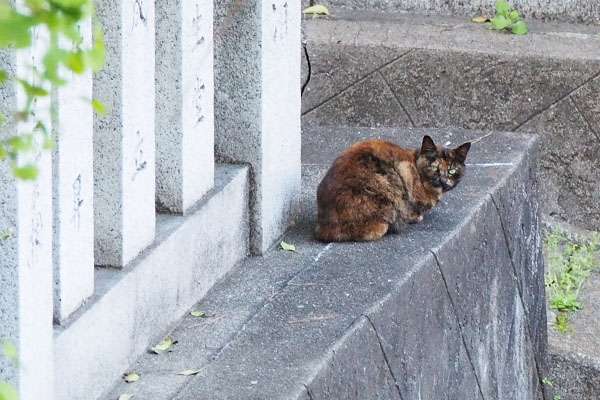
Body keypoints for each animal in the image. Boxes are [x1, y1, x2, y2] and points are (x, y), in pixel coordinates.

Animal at [316, 136, 472, 242]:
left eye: (452, 171)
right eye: (434, 168)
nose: (443, 181)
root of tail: (326, 227)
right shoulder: (406, 169)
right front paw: (416, 216)